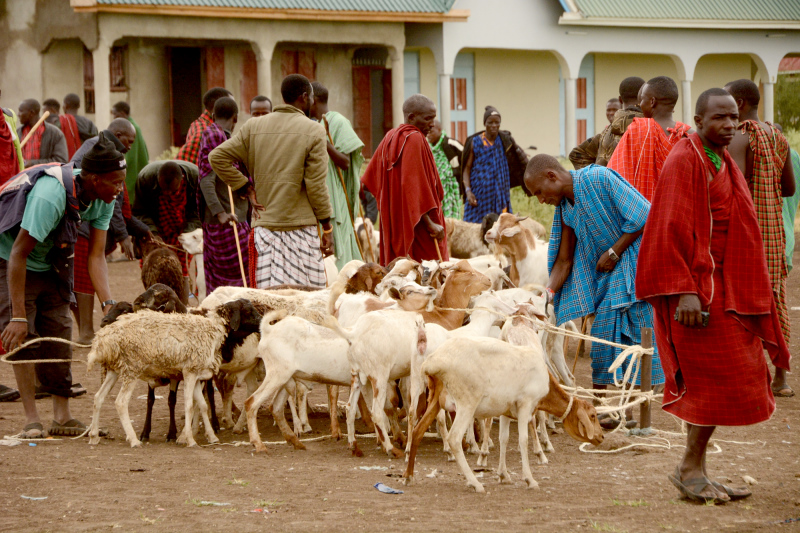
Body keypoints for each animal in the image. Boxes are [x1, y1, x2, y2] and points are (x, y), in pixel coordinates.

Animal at [87, 300, 262, 444]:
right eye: (248, 311)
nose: (263, 321)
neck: (214, 329)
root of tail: (102, 341)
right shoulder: (189, 372)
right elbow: (189, 405)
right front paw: (189, 439)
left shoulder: (197, 374)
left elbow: (202, 405)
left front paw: (211, 437)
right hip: (132, 369)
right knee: (121, 402)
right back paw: (133, 439)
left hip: (114, 369)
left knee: (98, 397)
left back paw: (94, 435)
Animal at [406, 336, 600, 490]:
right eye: (592, 415)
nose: (601, 436)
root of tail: (433, 362)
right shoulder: (525, 406)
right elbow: (523, 440)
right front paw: (530, 479)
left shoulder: (506, 411)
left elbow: (504, 440)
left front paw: (503, 475)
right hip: (466, 403)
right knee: (454, 439)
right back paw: (475, 483)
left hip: (435, 399)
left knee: (417, 431)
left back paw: (408, 476)